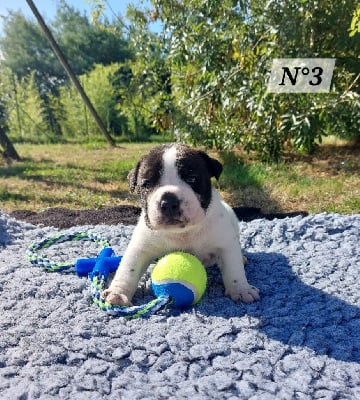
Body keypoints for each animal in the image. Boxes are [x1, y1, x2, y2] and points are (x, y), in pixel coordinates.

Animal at [102, 144, 260, 306]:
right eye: (147, 184)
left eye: (192, 178)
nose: (168, 202)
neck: (182, 232)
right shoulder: (140, 248)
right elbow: (128, 269)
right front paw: (118, 293)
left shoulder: (226, 244)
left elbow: (234, 268)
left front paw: (241, 289)